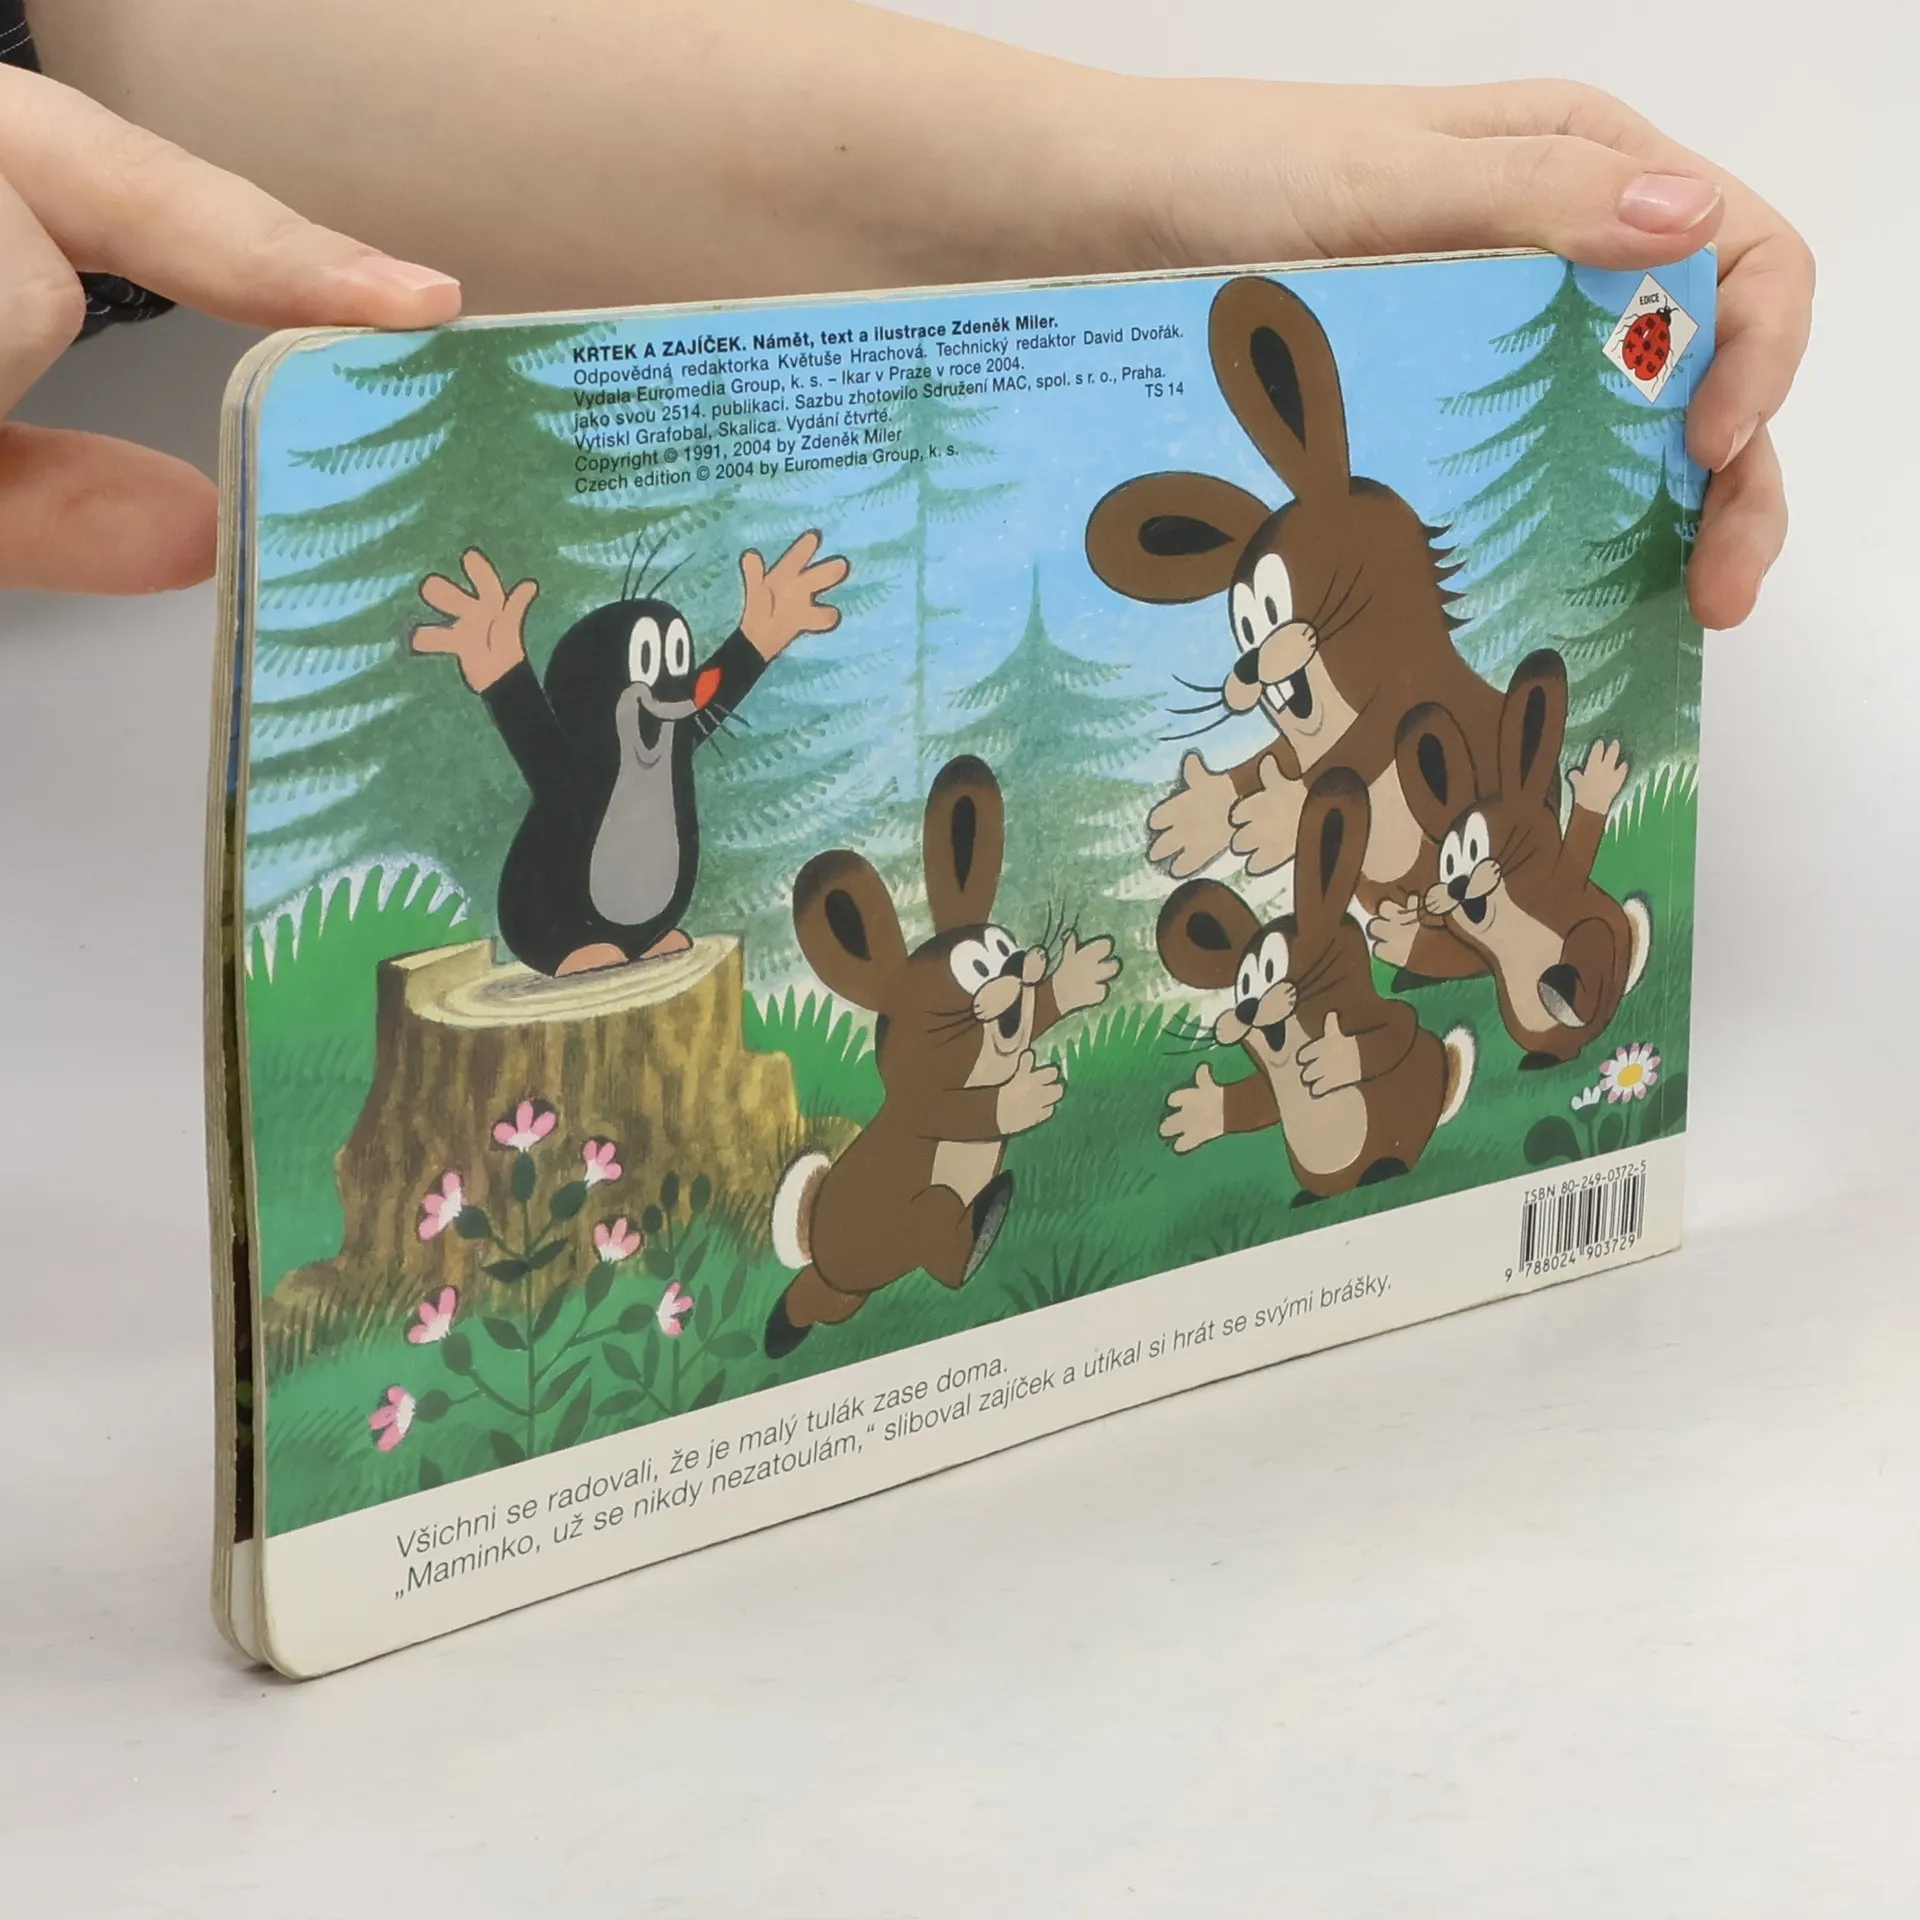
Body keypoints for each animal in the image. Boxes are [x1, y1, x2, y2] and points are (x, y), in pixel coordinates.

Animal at [764, 755, 1120, 1357]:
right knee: (928, 1254)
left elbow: (1039, 1014)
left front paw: (1076, 977)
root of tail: (816, 1240)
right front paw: (1026, 1095)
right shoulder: (925, 1104)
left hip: (857, 1281)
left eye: (1002, 947)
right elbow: (967, 1112)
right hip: (915, 1216)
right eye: (977, 968)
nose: (1019, 961)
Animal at [1157, 767, 1475, 1201]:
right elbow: (1255, 1099)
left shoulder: (1372, 1012)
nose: (1246, 1008)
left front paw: (1332, 1058)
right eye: (1243, 984)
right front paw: (1199, 1109)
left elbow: (1397, 1029)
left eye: (1271, 969)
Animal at [1385, 648, 1652, 1069]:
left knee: (1591, 940)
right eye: (1449, 863)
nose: (1458, 885)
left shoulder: (1561, 878)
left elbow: (1579, 849)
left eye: (1475, 849)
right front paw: (1400, 934)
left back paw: (1564, 993)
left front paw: (1596, 783)